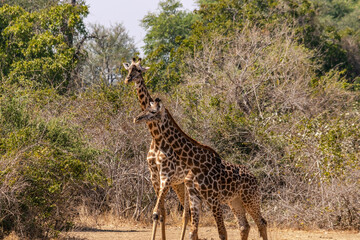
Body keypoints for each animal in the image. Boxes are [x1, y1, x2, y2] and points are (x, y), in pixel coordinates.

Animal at [122, 58, 198, 240]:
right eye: (128, 69)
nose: (128, 79)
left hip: (187, 183)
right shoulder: (154, 174)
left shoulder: (166, 176)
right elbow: (161, 212)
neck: (156, 139)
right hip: (179, 184)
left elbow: (157, 212)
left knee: (188, 213)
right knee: (186, 212)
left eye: (139, 70)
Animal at [134, 98, 268, 240]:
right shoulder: (195, 197)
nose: (136, 118)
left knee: (262, 223)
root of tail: (255, 179)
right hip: (235, 201)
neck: (195, 163)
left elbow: (222, 233)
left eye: (153, 111)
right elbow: (192, 233)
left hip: (250, 199)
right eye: (145, 109)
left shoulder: (213, 199)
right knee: (244, 226)